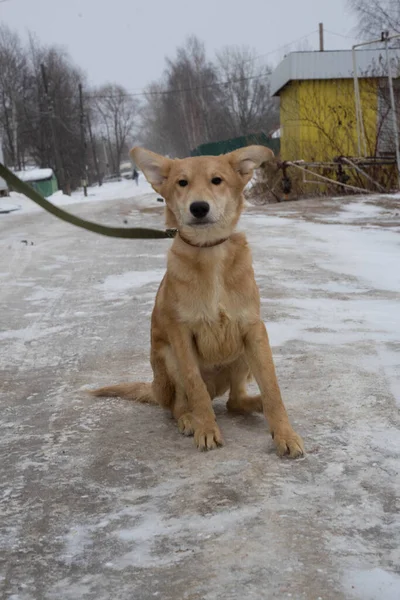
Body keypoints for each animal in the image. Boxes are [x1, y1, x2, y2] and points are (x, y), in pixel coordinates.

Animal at [90, 148, 304, 458]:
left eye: (217, 180)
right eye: (182, 183)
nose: (199, 208)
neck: (210, 252)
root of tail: (155, 388)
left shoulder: (254, 330)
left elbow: (273, 389)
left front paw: (284, 434)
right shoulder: (181, 336)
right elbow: (195, 388)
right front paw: (206, 429)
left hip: (241, 354)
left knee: (234, 402)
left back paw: (256, 403)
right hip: (168, 358)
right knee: (179, 405)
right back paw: (190, 418)